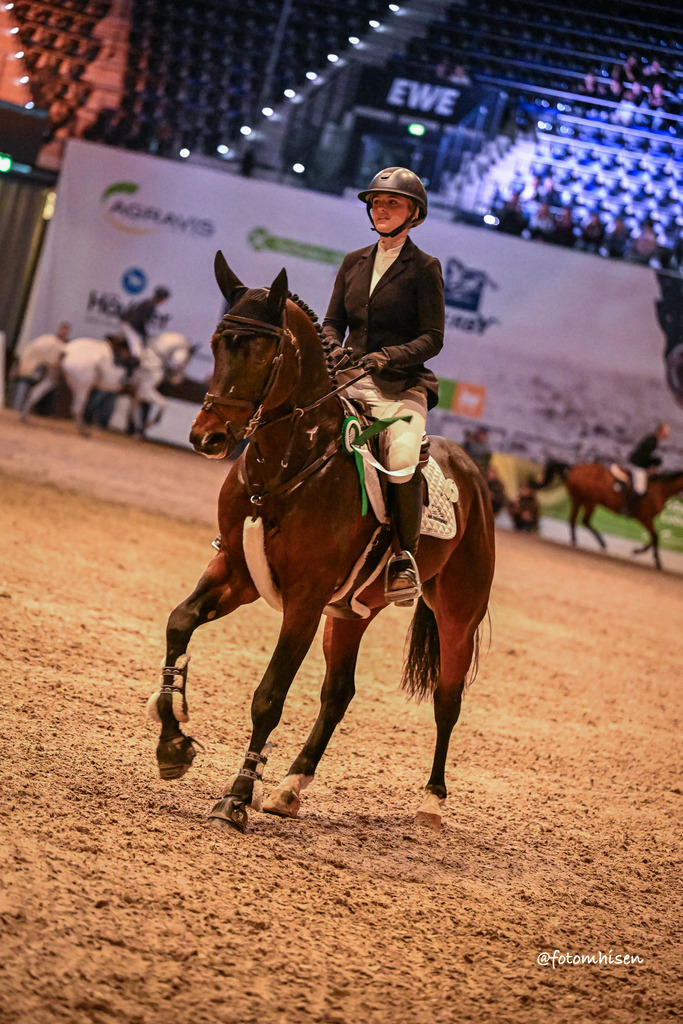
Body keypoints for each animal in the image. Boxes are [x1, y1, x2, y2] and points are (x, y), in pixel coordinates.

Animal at [20, 331, 194, 436]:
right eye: (187, 360)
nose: (178, 379)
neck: (156, 356)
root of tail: (65, 349)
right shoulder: (145, 390)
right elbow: (163, 403)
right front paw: (151, 423)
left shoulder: (136, 394)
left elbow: (136, 412)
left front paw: (139, 431)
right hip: (83, 385)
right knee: (77, 407)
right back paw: (83, 430)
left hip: (54, 378)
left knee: (36, 392)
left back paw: (24, 417)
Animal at [147, 252, 496, 835]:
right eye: (218, 342)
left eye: (262, 350)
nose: (207, 438)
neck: (288, 463)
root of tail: (471, 469)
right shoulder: (237, 573)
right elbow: (179, 622)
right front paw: (173, 743)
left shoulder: (305, 601)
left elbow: (269, 696)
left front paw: (235, 799)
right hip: (351, 612)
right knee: (338, 693)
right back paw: (290, 788)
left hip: (457, 612)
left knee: (447, 700)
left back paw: (431, 802)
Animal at [535, 460, 683, 570]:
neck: (660, 490)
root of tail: (573, 468)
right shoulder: (646, 519)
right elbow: (655, 537)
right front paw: (656, 561)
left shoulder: (647, 520)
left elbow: (653, 538)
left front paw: (639, 552)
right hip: (589, 501)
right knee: (583, 521)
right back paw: (599, 543)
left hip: (579, 500)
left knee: (574, 520)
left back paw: (578, 541)